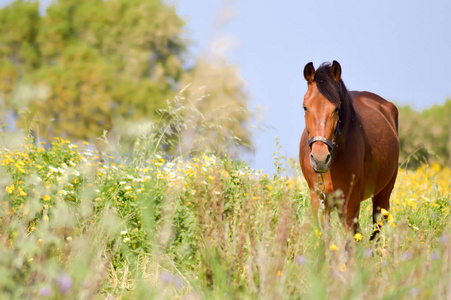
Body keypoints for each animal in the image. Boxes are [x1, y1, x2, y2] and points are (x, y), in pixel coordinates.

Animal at [300, 61, 400, 239]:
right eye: (305, 107)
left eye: (336, 108)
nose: (320, 159)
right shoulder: (319, 200)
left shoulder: (350, 202)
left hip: (383, 195)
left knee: (376, 230)